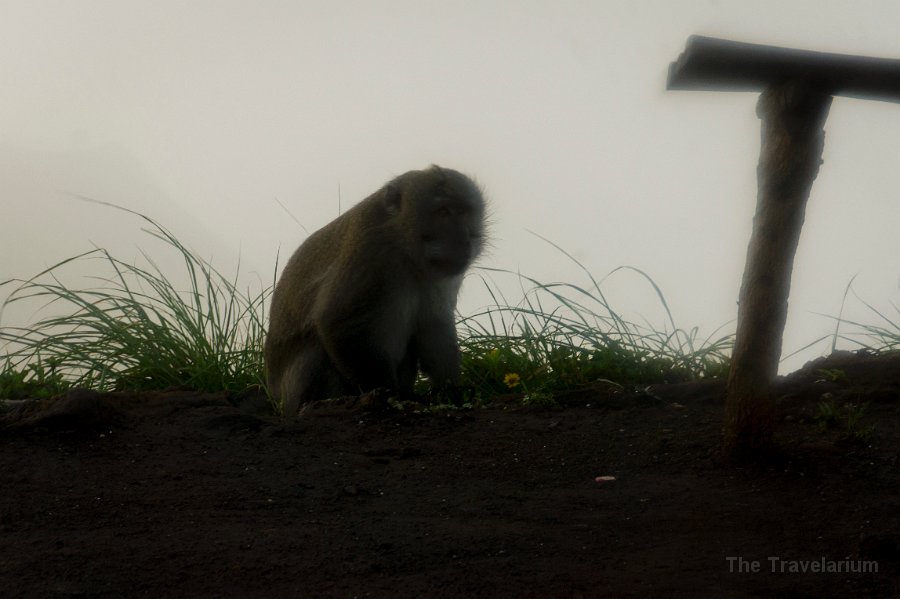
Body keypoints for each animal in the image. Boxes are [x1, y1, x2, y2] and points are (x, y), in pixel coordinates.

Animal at [268, 164, 486, 418]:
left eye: (465, 212)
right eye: (443, 211)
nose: (465, 239)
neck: (406, 248)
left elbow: (435, 328)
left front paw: (453, 394)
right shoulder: (371, 252)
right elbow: (337, 322)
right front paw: (392, 396)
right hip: (295, 396)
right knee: (317, 350)